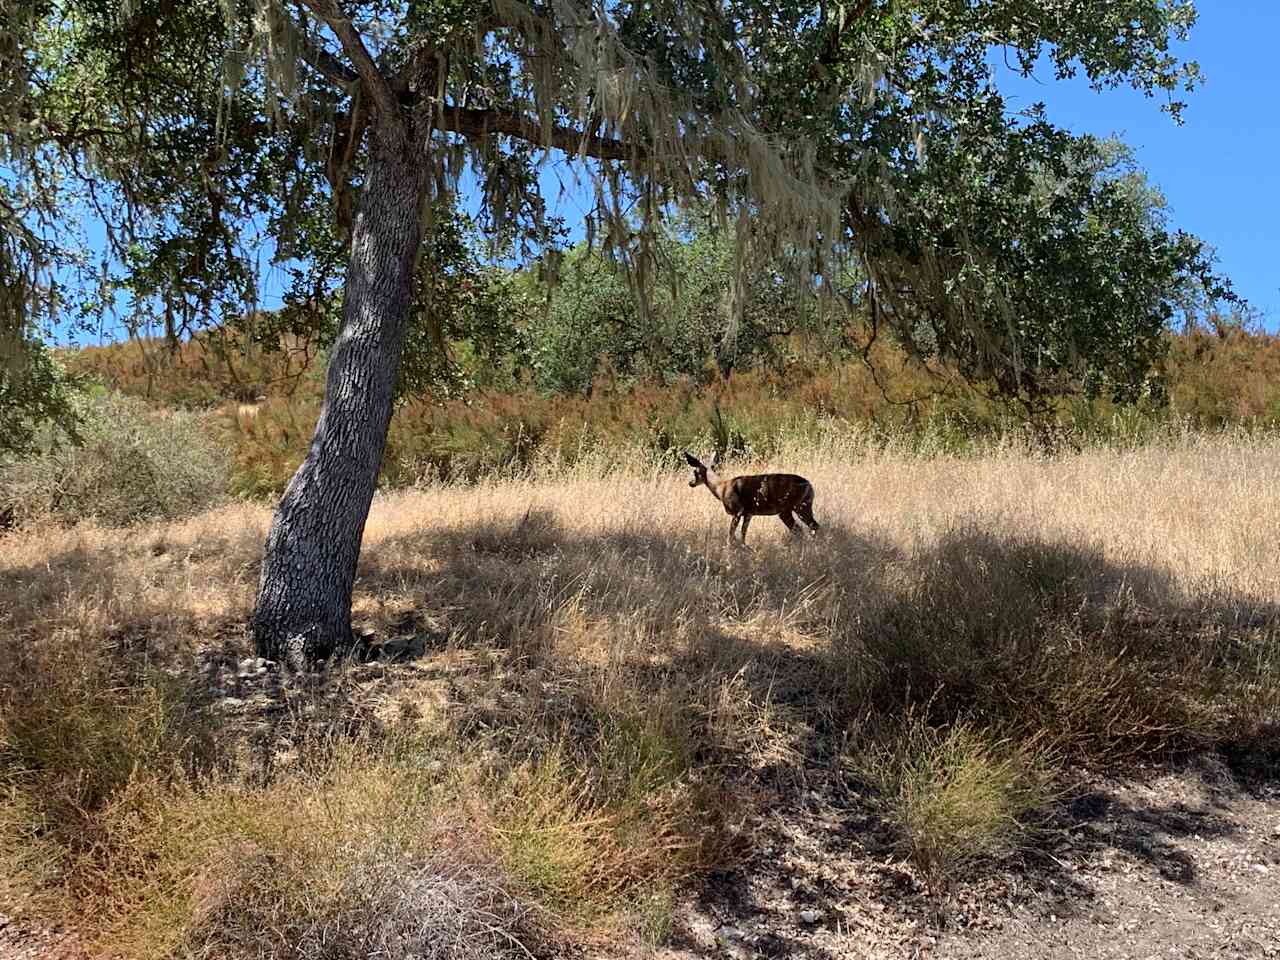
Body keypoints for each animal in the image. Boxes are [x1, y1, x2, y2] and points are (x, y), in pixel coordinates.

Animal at [691, 453, 819, 545]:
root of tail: (809, 485)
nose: (690, 483)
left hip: (794, 508)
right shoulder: (748, 513)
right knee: (804, 528)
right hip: (797, 508)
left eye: (695, 472)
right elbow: (742, 536)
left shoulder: (737, 511)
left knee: (808, 527)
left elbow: (731, 536)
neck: (721, 488)